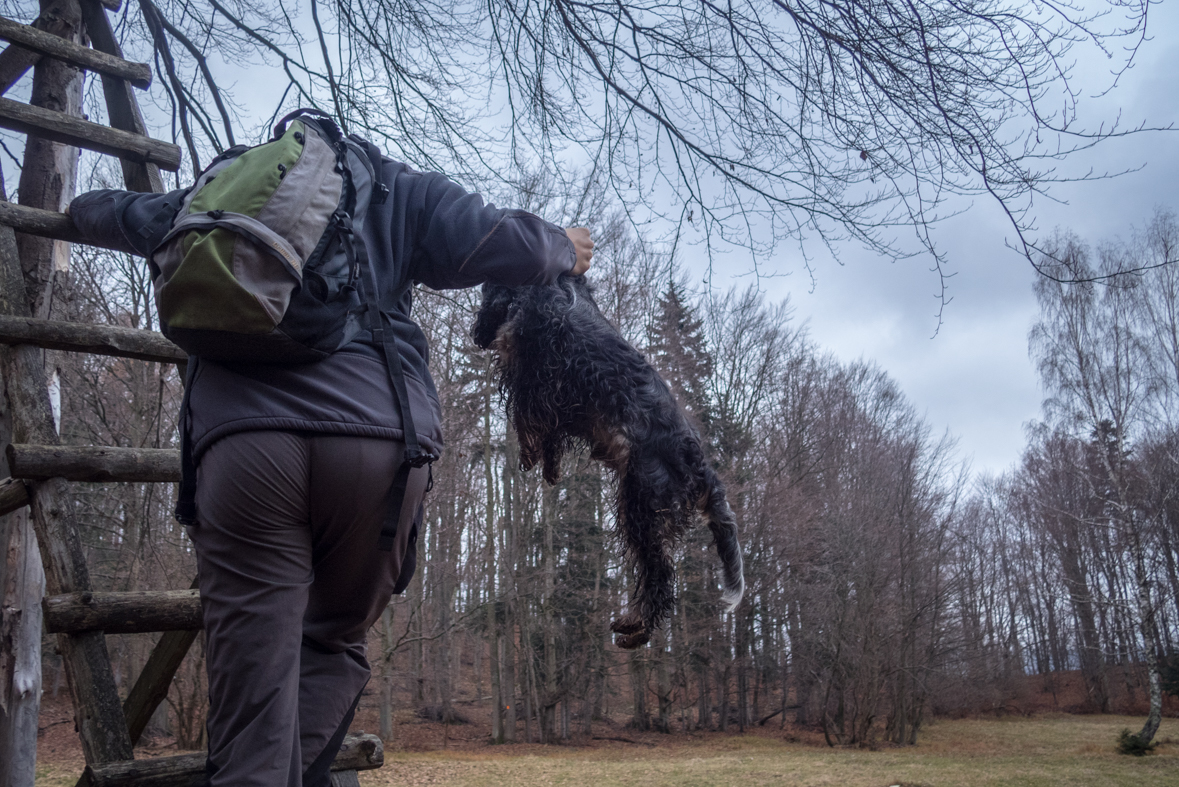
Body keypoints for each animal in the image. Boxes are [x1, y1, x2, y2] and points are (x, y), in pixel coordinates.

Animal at [471, 273, 740, 650]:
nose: (476, 336)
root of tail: (702, 467)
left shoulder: (533, 370)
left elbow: (528, 418)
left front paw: (529, 454)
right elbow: (549, 434)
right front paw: (549, 467)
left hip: (642, 511)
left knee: (660, 578)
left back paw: (634, 629)